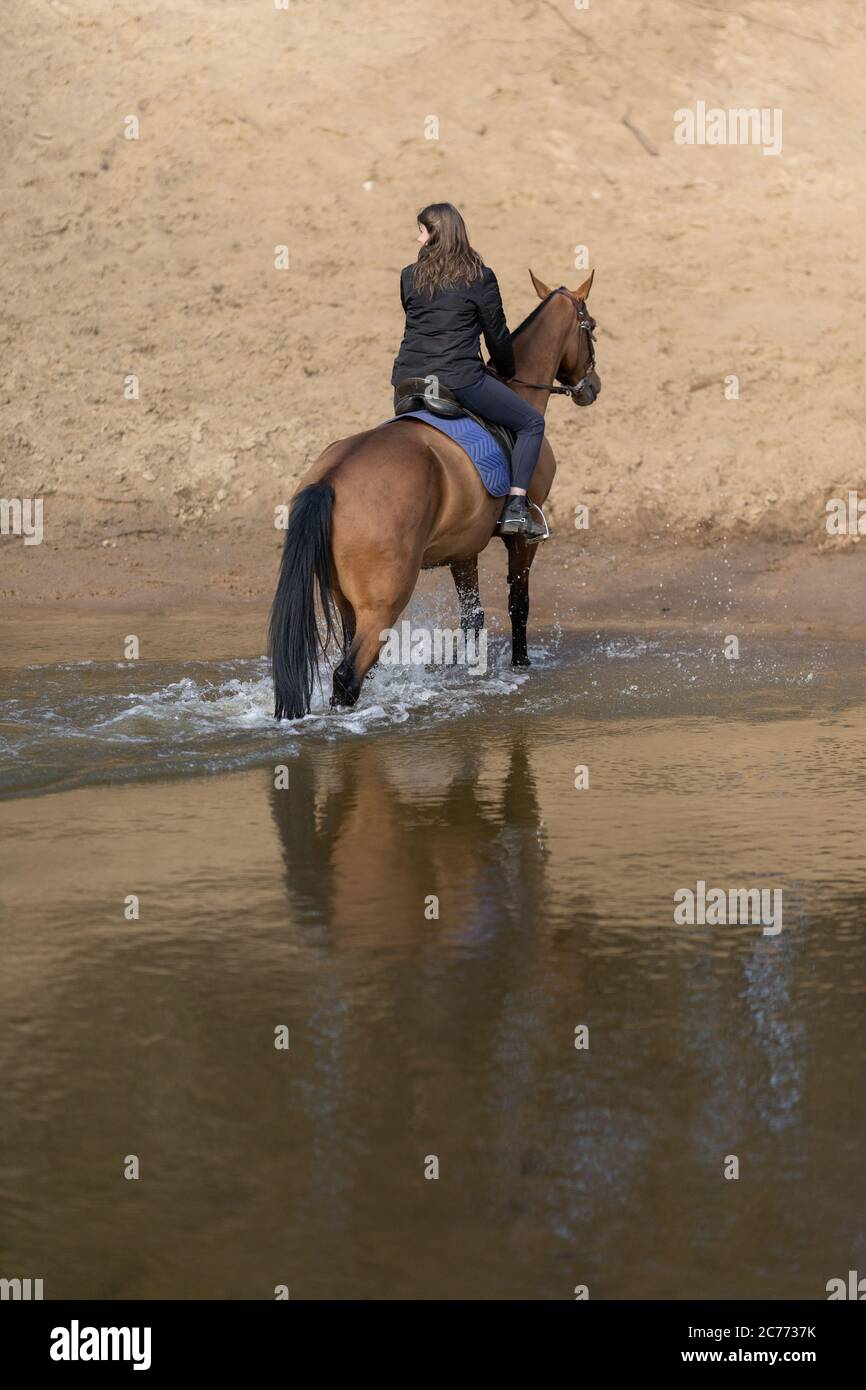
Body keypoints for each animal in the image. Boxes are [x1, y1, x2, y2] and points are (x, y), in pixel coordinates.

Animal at [269, 268, 600, 719]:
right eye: (591, 328)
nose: (593, 386)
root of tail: (331, 479)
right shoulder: (521, 539)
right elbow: (519, 603)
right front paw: (521, 664)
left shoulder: (463, 550)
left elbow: (473, 617)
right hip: (382, 604)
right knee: (347, 676)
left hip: (346, 600)